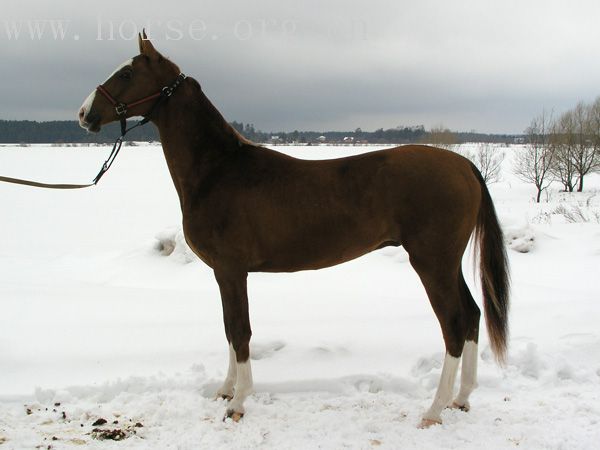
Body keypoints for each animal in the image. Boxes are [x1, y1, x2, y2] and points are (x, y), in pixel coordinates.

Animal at [77, 32, 508, 428]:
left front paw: (239, 402)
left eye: (127, 72)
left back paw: (433, 410)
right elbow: (229, 330)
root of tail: (464, 165)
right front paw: (225, 390)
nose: (84, 114)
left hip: (432, 263)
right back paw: (462, 398)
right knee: (472, 316)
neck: (218, 170)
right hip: (446, 264)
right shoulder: (223, 273)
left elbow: (241, 331)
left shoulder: (232, 270)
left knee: (453, 325)